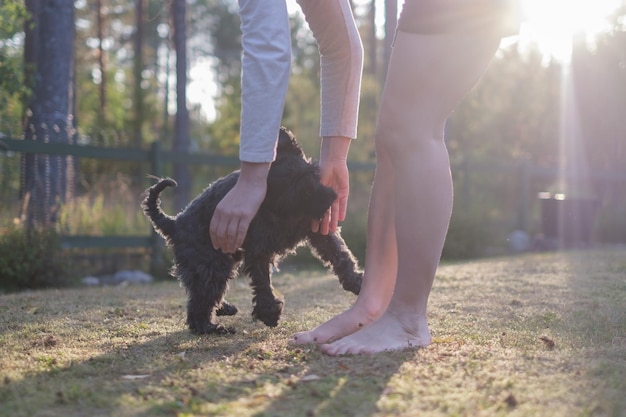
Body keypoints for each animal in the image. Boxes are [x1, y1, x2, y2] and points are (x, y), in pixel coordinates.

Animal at [141, 127, 360, 334]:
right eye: (301, 193)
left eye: (312, 174)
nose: (330, 199)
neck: (281, 207)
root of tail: (174, 223)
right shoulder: (258, 251)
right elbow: (262, 282)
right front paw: (270, 313)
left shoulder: (317, 231)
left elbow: (341, 255)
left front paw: (356, 281)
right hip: (212, 266)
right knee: (199, 306)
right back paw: (213, 328)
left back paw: (225, 309)